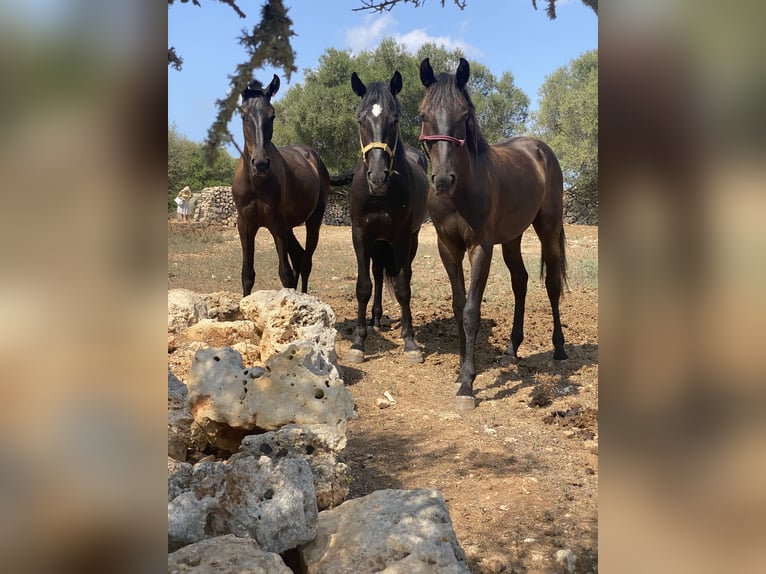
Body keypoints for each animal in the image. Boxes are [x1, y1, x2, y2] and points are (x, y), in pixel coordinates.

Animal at [232, 74, 330, 296]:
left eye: (272, 115)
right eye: (243, 116)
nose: (260, 163)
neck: (256, 184)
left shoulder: (276, 225)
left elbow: (285, 274)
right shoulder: (245, 225)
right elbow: (247, 274)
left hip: (312, 221)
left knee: (305, 262)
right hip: (289, 227)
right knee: (299, 257)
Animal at [345, 70, 429, 364]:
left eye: (394, 119)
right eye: (360, 119)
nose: (378, 177)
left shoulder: (401, 238)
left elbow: (403, 287)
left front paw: (411, 342)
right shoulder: (360, 235)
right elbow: (363, 286)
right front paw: (358, 343)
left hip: (408, 240)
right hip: (377, 243)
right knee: (378, 275)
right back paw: (375, 320)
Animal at [418, 57, 568, 410]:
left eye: (464, 116)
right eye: (423, 115)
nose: (443, 180)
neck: (461, 193)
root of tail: (540, 149)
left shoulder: (480, 248)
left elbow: (472, 311)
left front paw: (468, 385)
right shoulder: (447, 247)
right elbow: (458, 306)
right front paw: (460, 370)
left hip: (548, 229)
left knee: (552, 285)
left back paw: (559, 349)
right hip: (512, 238)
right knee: (521, 281)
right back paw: (512, 350)